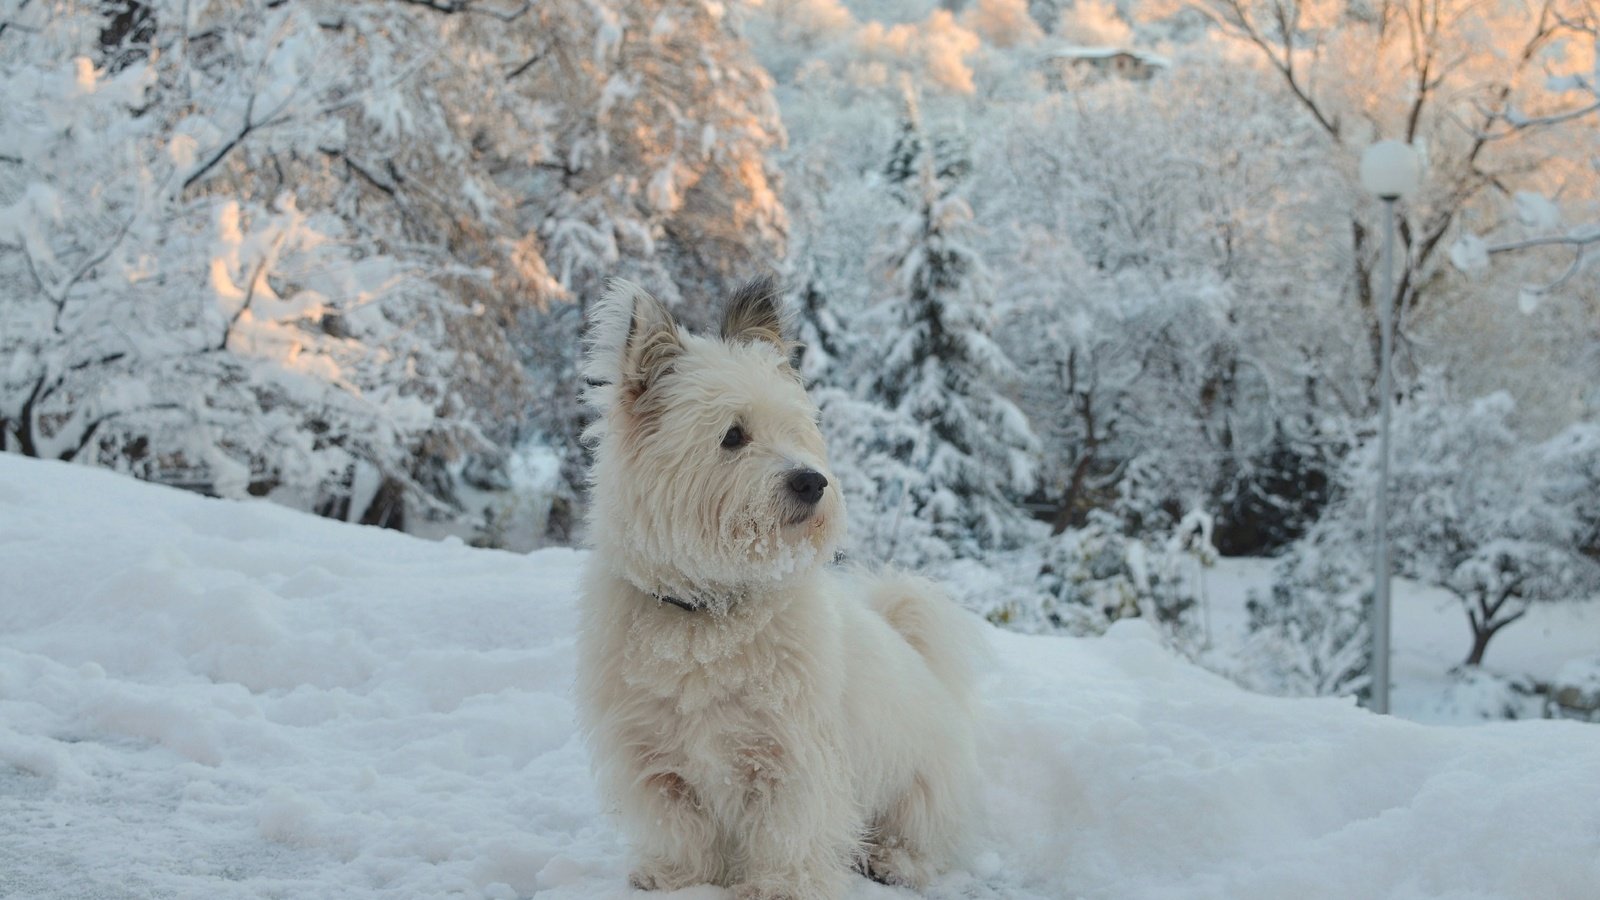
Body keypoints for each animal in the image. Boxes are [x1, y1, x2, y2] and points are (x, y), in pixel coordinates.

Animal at [576, 277, 985, 890]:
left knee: (925, 841)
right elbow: (681, 829)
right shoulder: (655, 759)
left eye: (796, 431)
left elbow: (786, 834)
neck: (709, 612)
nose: (812, 482)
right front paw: (676, 878)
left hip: (919, 790)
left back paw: (893, 860)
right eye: (733, 435)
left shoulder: (793, 757)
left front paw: (777, 890)